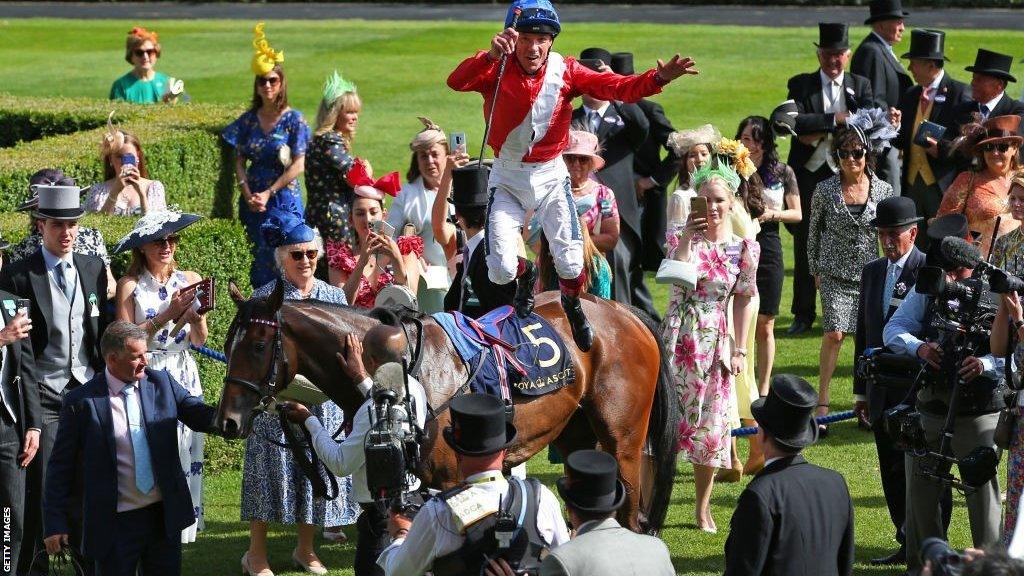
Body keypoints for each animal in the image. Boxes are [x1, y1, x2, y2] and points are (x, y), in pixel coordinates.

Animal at [214, 280, 679, 532]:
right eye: (227, 343)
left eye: (258, 346)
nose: (227, 421)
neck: (400, 365)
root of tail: (624, 312)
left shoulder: (450, 479)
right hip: (576, 435)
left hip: (622, 441)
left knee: (630, 516)